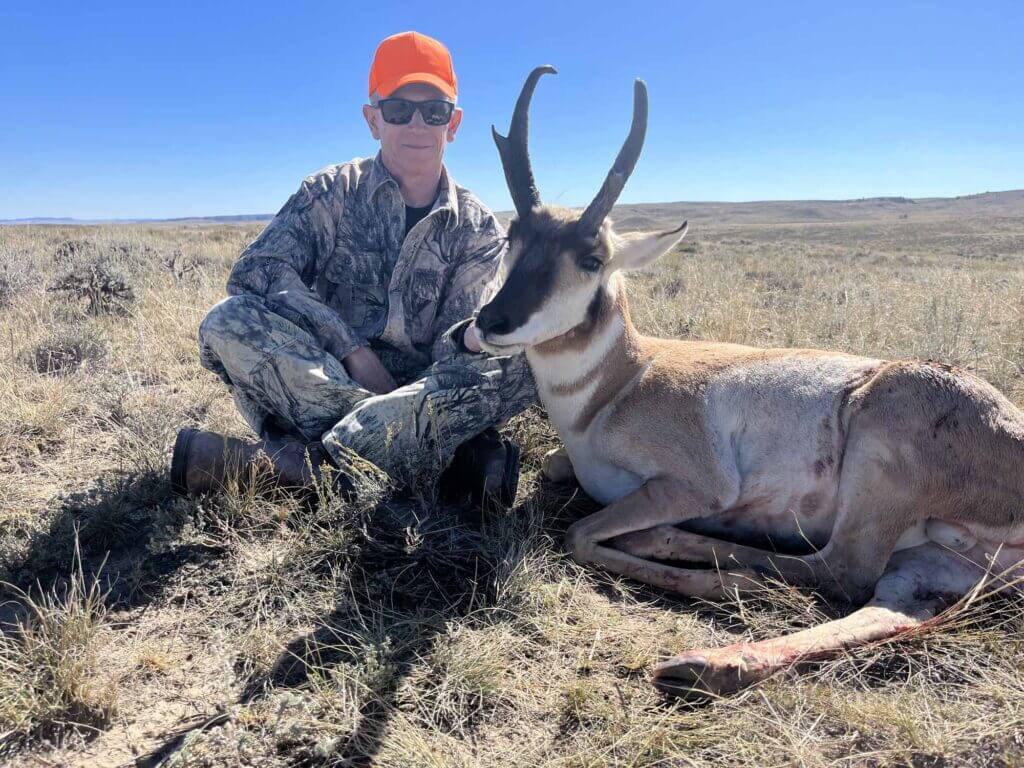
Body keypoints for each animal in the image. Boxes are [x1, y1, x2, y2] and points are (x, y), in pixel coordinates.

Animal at [471, 66, 1024, 697]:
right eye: (513, 238)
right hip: (933, 561)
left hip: (878, 460)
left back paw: (704, 580)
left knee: (839, 570)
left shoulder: (693, 485)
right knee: (884, 606)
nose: (490, 321)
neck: (624, 381)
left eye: (592, 258)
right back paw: (704, 665)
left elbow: (579, 535)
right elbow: (554, 467)